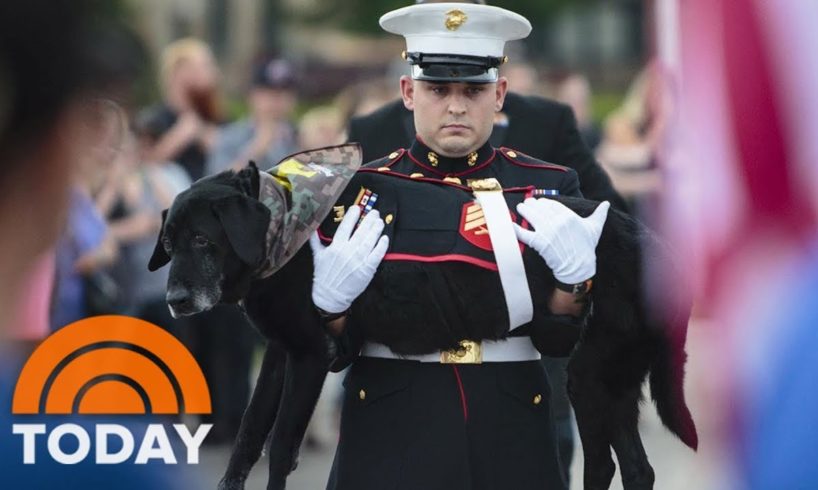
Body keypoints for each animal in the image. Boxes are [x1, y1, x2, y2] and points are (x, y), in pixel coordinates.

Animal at [151, 162, 696, 490]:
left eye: (202, 240)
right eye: (171, 241)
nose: (175, 301)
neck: (286, 226)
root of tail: (661, 250)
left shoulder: (309, 355)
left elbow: (281, 447)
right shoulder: (282, 354)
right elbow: (248, 436)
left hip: (591, 376)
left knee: (606, 463)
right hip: (607, 380)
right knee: (632, 467)